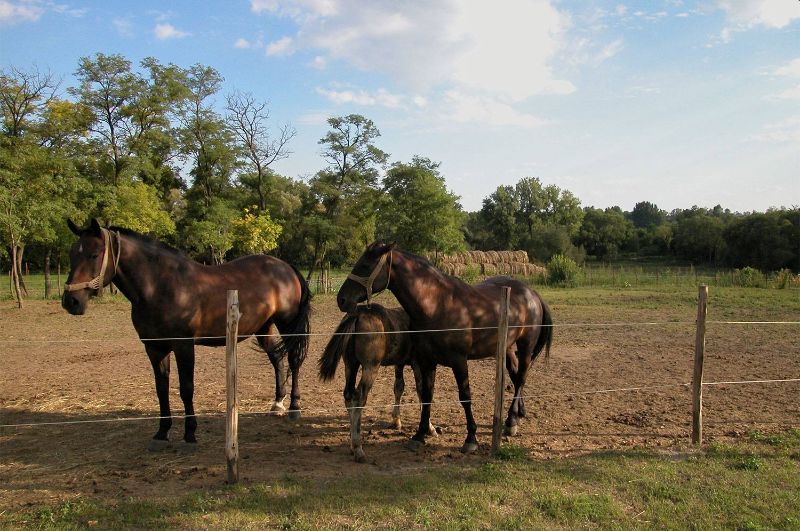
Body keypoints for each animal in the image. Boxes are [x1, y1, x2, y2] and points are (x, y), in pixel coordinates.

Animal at [61, 218, 310, 450]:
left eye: (94, 254)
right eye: (72, 254)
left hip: (287, 324)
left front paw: (190, 434)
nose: (70, 301)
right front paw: (161, 433)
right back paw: (277, 404)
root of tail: (286, 267)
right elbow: (161, 389)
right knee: (276, 358)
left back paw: (294, 407)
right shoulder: (155, 348)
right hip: (263, 327)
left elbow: (186, 388)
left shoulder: (183, 346)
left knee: (293, 360)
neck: (162, 286)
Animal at [316, 306, 434, 464]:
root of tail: (357, 314)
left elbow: (399, 387)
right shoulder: (418, 363)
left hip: (350, 365)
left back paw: (352, 445)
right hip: (370, 367)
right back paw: (358, 449)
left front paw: (397, 421)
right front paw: (430, 428)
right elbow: (422, 391)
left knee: (348, 396)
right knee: (359, 398)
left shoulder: (399, 363)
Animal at [336, 243, 552, 456]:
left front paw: (470, 438)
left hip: (525, 347)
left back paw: (510, 421)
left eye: (365, 265)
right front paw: (419, 435)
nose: (341, 299)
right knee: (516, 377)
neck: (437, 305)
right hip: (506, 348)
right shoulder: (426, 361)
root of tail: (532, 293)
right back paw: (518, 414)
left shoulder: (459, 360)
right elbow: (426, 396)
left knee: (521, 377)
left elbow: (465, 396)